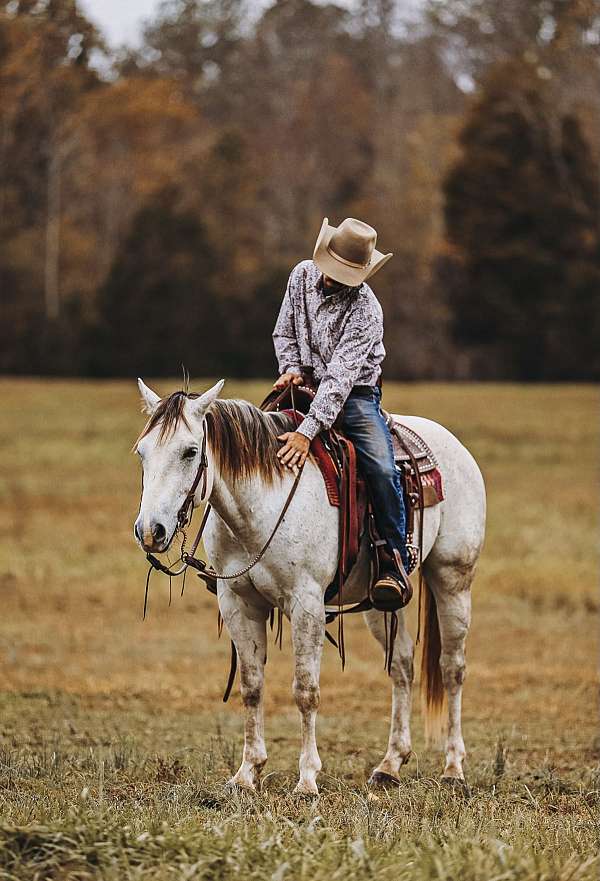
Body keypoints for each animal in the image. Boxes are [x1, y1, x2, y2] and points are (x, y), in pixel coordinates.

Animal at [134, 382, 486, 796]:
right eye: (142, 452)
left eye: (190, 451)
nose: (150, 531)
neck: (263, 504)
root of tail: (452, 444)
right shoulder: (238, 602)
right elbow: (251, 686)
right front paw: (246, 773)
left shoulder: (306, 605)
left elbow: (306, 690)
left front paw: (306, 779)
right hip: (381, 603)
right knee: (401, 666)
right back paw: (390, 765)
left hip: (453, 578)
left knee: (452, 668)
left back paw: (453, 768)